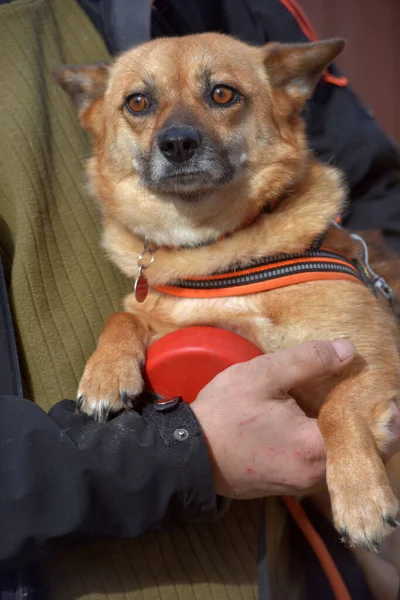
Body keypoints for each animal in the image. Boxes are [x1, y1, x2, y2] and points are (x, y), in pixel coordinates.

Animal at [55, 35, 400, 564]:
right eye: (138, 102)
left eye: (222, 94)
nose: (177, 143)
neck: (216, 258)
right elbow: (124, 316)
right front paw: (105, 374)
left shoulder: (378, 355)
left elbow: (337, 409)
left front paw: (361, 500)